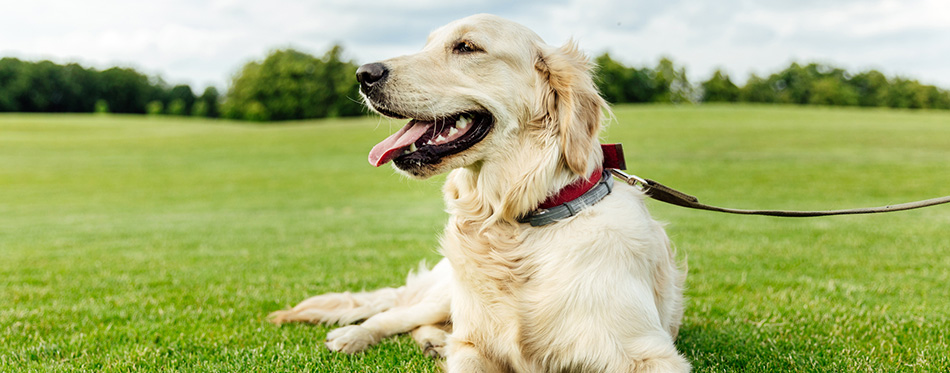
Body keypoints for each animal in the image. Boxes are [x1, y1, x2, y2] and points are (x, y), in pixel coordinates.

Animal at [272, 13, 688, 370]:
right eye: (426, 44)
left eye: (467, 47)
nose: (363, 74)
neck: (513, 223)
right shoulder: (474, 344)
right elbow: (460, 343)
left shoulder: (650, 354)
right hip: (444, 293)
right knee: (397, 315)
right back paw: (355, 335)